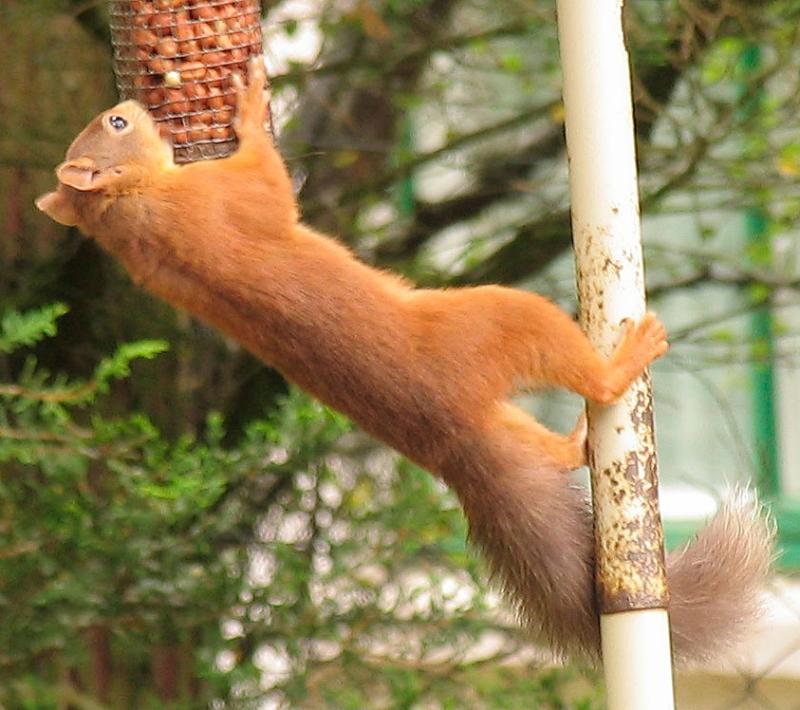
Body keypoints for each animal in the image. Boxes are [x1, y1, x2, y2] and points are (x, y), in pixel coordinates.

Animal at [39, 58, 776, 664]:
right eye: (117, 123)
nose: (130, 100)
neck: (134, 211)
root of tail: (453, 438)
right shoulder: (225, 199)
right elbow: (269, 183)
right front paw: (250, 106)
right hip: (500, 319)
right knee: (584, 372)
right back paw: (629, 357)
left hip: (499, 420)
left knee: (555, 453)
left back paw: (577, 440)